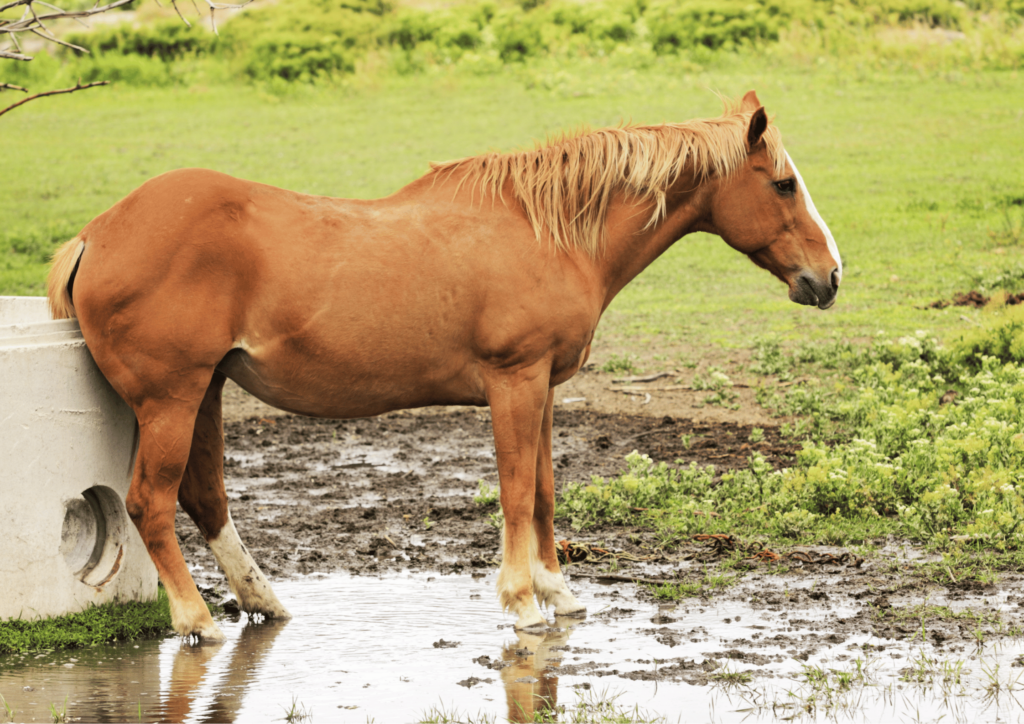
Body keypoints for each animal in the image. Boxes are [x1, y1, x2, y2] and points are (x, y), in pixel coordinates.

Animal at [46, 90, 839, 639]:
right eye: (783, 184)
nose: (829, 277)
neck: (547, 232)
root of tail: (97, 234)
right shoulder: (514, 382)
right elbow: (516, 494)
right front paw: (522, 604)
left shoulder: (544, 389)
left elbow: (545, 493)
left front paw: (558, 593)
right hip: (173, 399)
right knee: (151, 502)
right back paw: (197, 621)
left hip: (205, 390)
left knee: (204, 496)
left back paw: (262, 602)